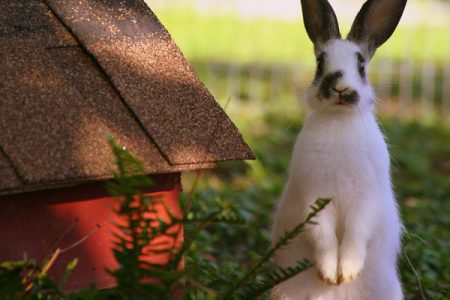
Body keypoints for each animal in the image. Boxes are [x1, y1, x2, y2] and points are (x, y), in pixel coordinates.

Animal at [270, 0, 408, 300]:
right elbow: (323, 236)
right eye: (320, 63)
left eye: (361, 65)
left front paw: (348, 273)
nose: (341, 89)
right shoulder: (314, 196)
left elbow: (357, 232)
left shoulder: (366, 198)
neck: (339, 119)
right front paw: (330, 276)